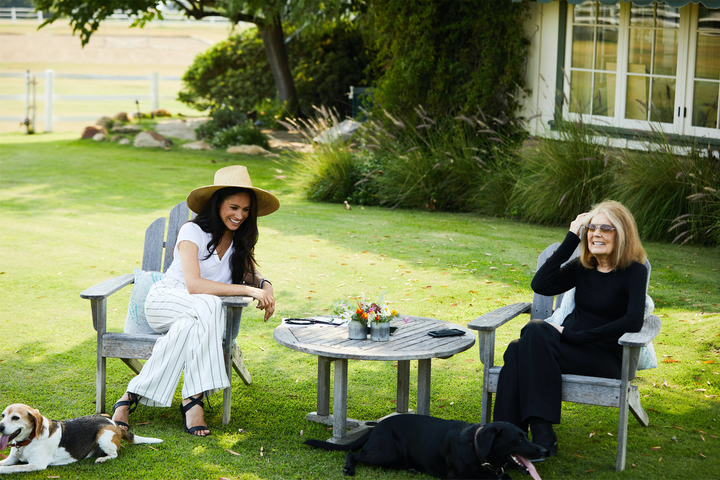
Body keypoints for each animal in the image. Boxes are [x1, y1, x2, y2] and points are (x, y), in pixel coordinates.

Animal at [0, 404, 162, 474]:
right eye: (3, 415)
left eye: (15, 418)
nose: (0, 427)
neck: (28, 440)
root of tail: (114, 423)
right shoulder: (12, 458)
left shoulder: (36, 465)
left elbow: (12, 468)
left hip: (104, 437)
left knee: (114, 454)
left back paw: (103, 458)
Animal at [300, 414, 544, 478]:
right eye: (518, 439)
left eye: (526, 435)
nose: (544, 450)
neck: (476, 449)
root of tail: (375, 427)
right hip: (385, 454)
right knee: (353, 454)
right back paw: (349, 468)